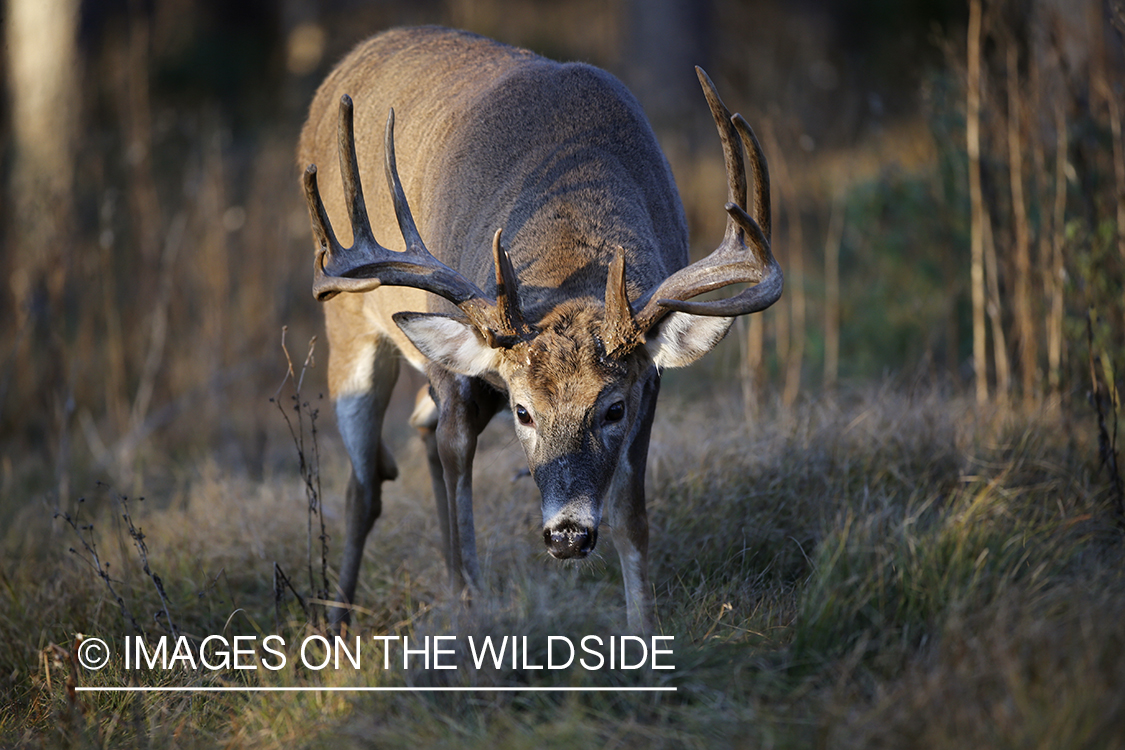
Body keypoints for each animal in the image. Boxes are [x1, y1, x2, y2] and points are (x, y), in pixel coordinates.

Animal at [294, 24, 778, 634]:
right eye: (524, 412)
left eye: (612, 409)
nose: (567, 536)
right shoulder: (460, 370)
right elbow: (459, 472)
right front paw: (472, 611)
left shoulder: (649, 383)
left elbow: (632, 516)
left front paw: (643, 631)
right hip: (349, 325)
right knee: (365, 484)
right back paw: (337, 625)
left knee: (415, 433)